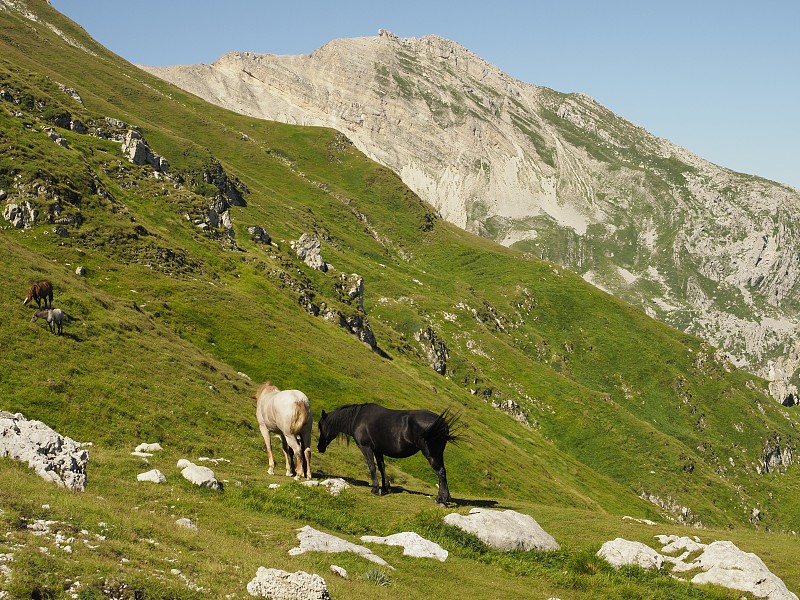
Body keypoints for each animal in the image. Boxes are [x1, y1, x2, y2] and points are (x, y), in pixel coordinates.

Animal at [318, 404, 460, 506]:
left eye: (320, 426)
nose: (319, 447)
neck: (357, 418)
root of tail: (442, 423)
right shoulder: (378, 450)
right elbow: (382, 467)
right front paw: (385, 488)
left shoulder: (366, 447)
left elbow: (372, 466)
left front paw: (375, 489)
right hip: (438, 454)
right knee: (443, 472)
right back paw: (446, 498)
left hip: (430, 453)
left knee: (440, 472)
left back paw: (440, 500)